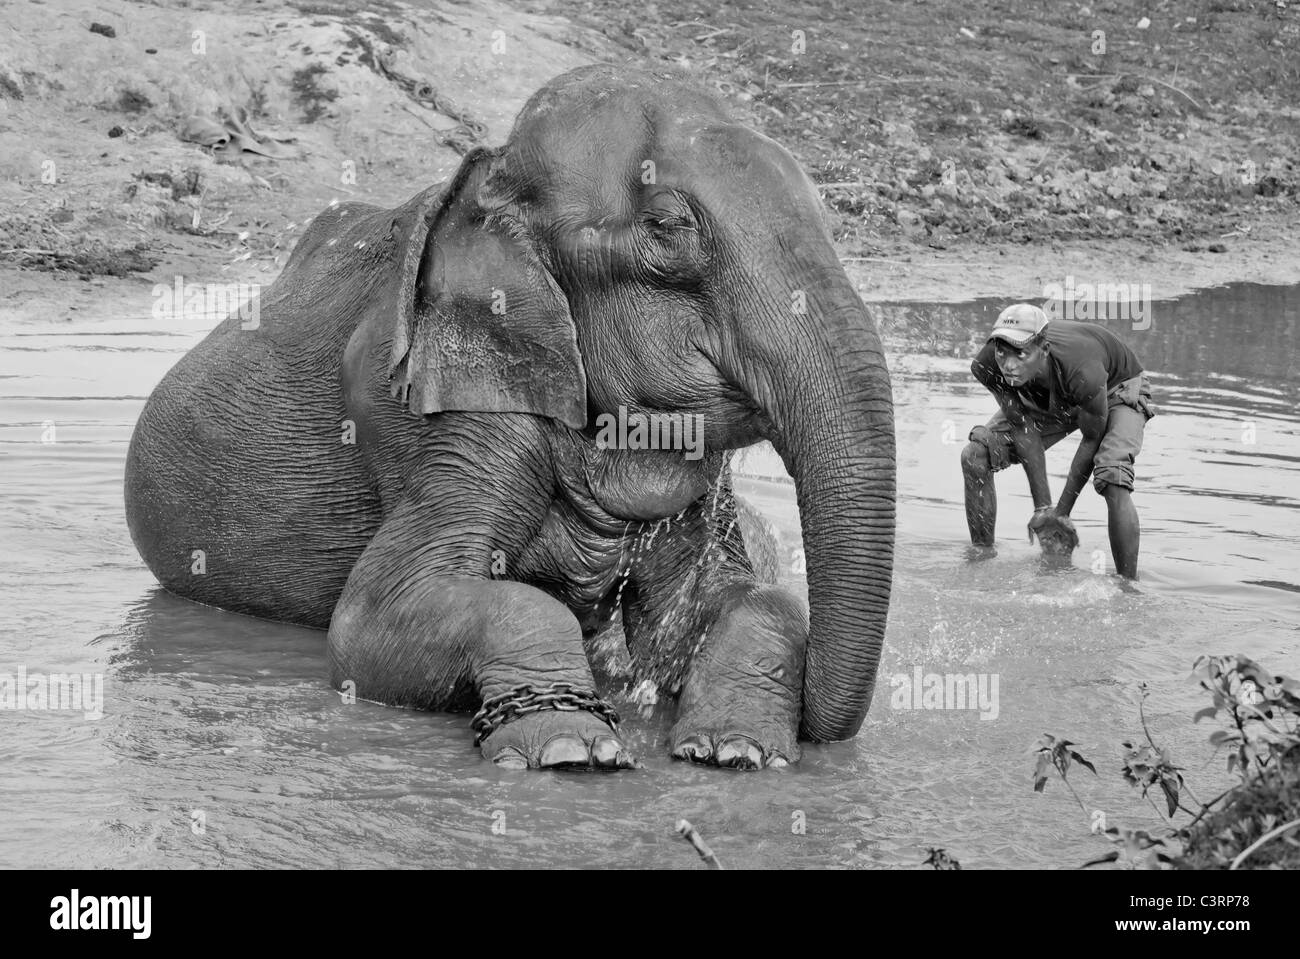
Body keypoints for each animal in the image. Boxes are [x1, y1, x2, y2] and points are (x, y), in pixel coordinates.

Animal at [126, 63, 899, 769]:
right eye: (667, 227)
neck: (490, 180)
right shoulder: (429, 406)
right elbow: (371, 621)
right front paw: (567, 746)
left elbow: (738, 601)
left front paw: (735, 750)